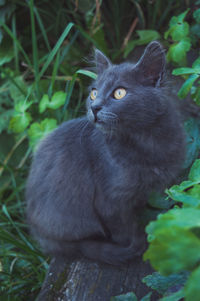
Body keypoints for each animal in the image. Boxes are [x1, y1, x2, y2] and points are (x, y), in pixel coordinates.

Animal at [25, 41, 185, 264]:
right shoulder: (110, 202)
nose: (94, 106)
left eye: (119, 93)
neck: (146, 139)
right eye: (93, 92)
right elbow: (123, 231)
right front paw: (135, 244)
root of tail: (38, 233)